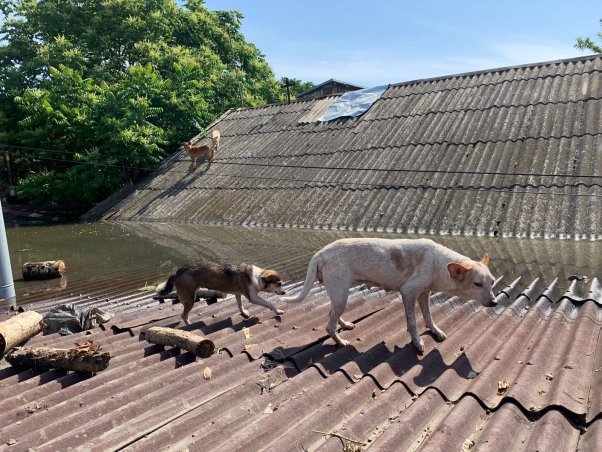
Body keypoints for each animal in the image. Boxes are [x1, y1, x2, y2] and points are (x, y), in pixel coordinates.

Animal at [156, 262, 284, 324]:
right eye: (279, 284)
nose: (284, 292)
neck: (257, 277)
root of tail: (177, 272)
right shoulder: (253, 297)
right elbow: (269, 304)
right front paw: (278, 311)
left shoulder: (238, 292)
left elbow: (240, 304)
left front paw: (243, 312)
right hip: (190, 299)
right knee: (184, 315)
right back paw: (190, 325)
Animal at [284, 237, 494, 354]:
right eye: (477, 284)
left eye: (492, 282)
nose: (494, 302)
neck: (438, 263)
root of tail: (320, 253)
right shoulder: (408, 292)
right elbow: (413, 323)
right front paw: (417, 342)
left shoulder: (424, 293)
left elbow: (428, 317)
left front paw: (435, 330)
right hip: (341, 294)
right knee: (329, 326)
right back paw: (340, 341)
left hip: (339, 294)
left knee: (332, 315)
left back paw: (345, 325)